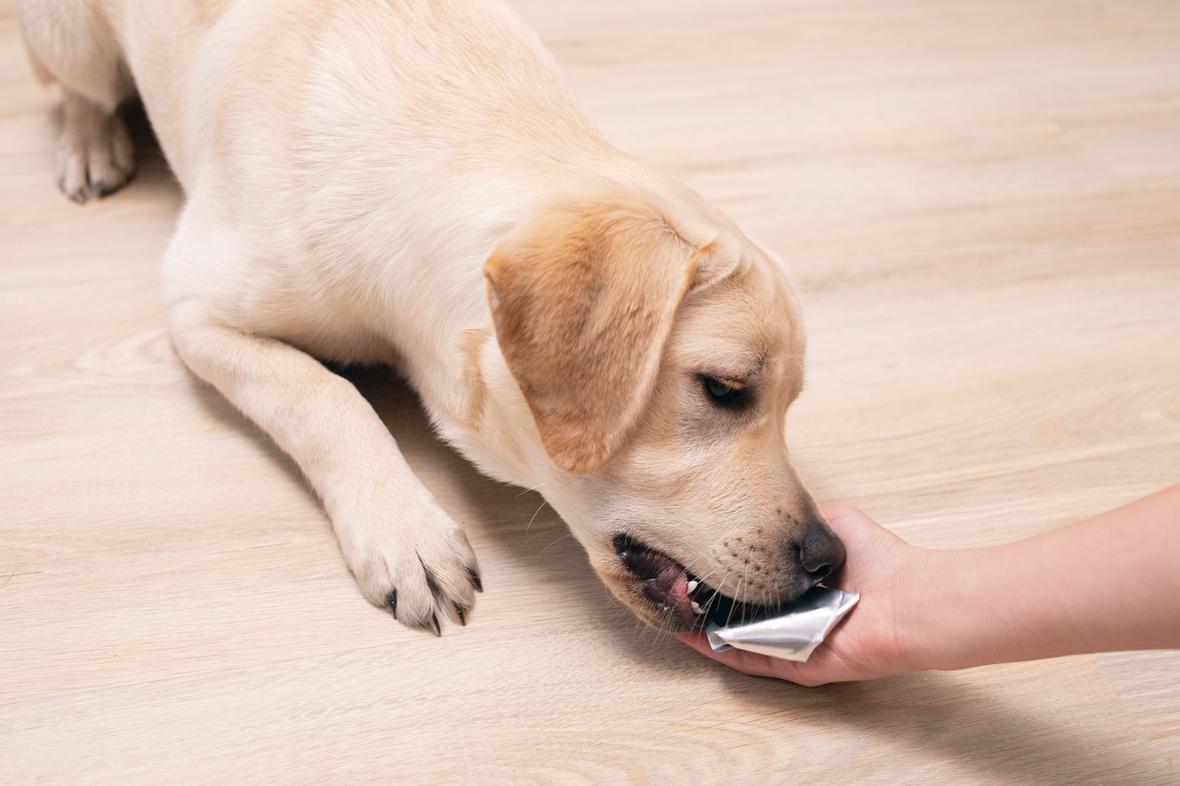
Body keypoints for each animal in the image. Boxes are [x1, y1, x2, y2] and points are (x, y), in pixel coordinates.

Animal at [18, 0, 849, 632]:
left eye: (790, 405)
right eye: (724, 389)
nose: (830, 558)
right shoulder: (196, 305)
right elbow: (325, 395)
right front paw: (404, 532)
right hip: (72, 41)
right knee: (76, 91)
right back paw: (91, 143)